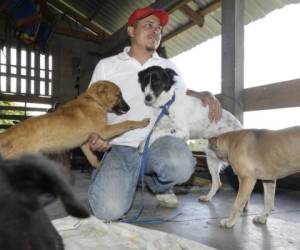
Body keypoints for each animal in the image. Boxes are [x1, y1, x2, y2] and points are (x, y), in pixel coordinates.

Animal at [0, 80, 150, 166]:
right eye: (118, 95)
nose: (128, 108)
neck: (93, 101)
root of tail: (6, 135)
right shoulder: (104, 131)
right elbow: (127, 123)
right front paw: (142, 122)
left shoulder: (85, 143)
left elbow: (92, 158)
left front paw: (98, 167)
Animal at [138, 65, 241, 202]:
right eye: (145, 82)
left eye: (157, 81)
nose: (147, 98)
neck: (165, 106)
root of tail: (240, 126)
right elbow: (153, 132)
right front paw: (144, 143)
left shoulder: (182, 131)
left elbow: (158, 133)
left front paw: (143, 144)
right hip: (211, 158)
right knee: (217, 182)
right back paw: (207, 197)